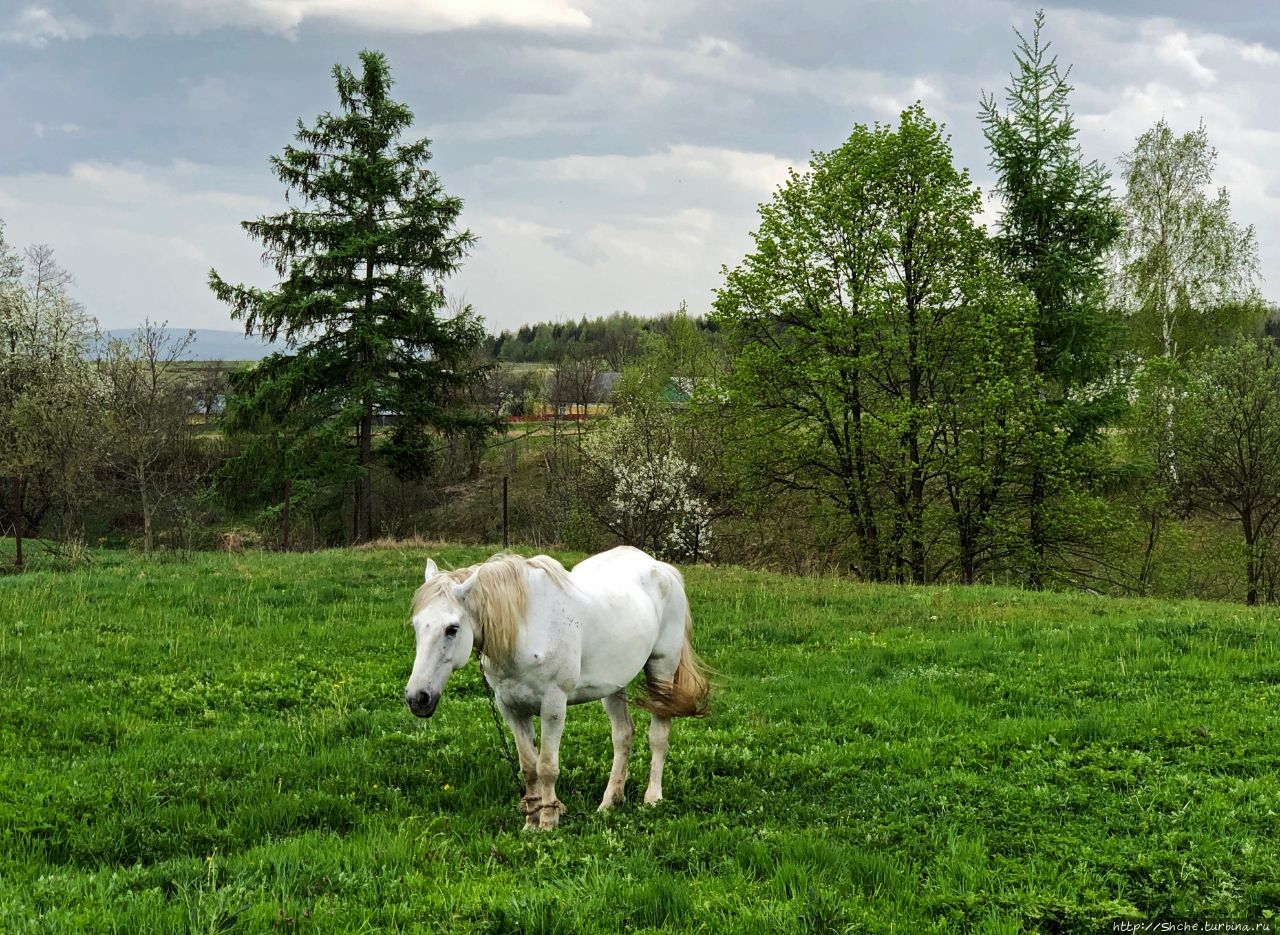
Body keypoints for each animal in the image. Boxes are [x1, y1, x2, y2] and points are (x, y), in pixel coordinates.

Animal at [404, 545, 711, 829]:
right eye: (416, 626)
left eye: (452, 628)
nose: (417, 698)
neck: (525, 629)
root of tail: (661, 568)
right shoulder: (511, 708)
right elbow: (529, 767)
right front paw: (531, 820)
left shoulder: (553, 705)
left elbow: (547, 766)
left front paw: (548, 822)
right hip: (614, 685)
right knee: (623, 736)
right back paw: (610, 802)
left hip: (662, 671)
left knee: (658, 736)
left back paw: (652, 798)